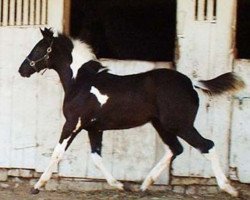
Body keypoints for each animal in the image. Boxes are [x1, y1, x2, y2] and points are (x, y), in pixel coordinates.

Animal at [19, 28, 244, 197]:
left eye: (39, 48)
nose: (22, 70)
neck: (82, 82)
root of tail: (191, 83)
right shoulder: (94, 128)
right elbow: (96, 157)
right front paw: (121, 185)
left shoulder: (73, 124)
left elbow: (57, 152)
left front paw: (37, 186)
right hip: (161, 124)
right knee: (175, 149)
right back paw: (144, 185)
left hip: (180, 125)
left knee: (207, 146)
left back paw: (229, 188)